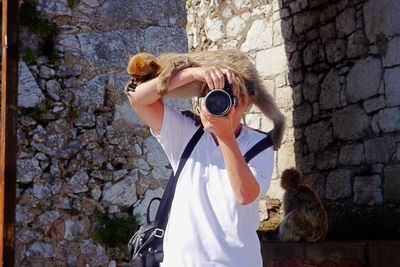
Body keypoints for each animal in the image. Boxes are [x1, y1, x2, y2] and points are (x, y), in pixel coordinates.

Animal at [125, 49, 284, 151]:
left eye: (138, 75)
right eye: (133, 75)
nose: (135, 80)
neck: (156, 71)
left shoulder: (167, 62)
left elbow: (180, 61)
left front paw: (162, 82)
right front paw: (129, 85)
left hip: (244, 69)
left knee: (256, 93)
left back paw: (279, 122)